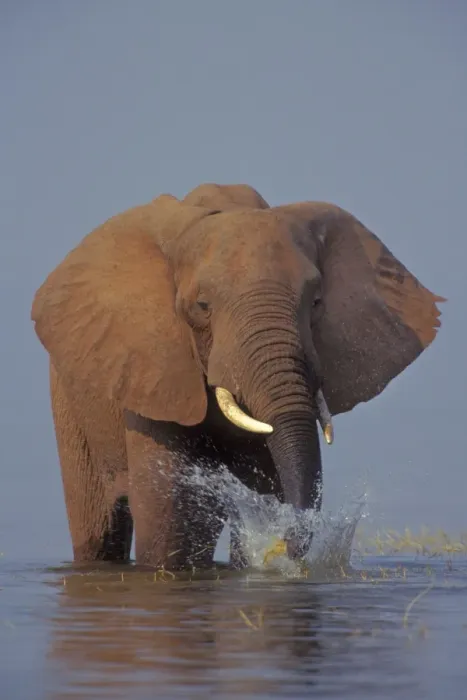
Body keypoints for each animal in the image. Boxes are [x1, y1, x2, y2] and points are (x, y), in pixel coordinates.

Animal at [31, 182, 444, 569]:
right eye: (202, 306)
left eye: (315, 301)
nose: (284, 549)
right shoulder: (152, 369)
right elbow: (169, 515)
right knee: (99, 530)